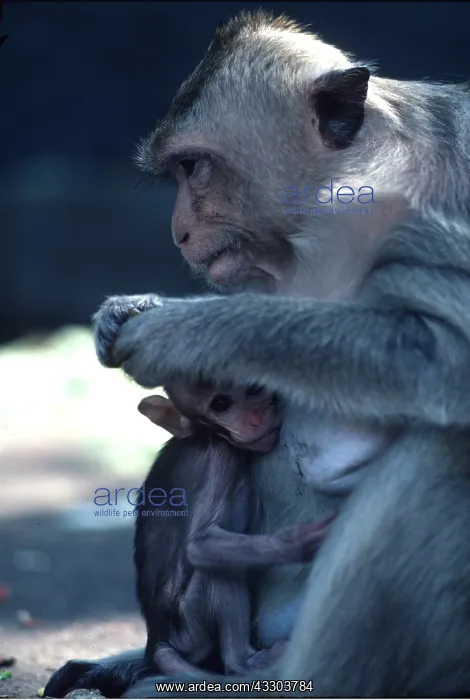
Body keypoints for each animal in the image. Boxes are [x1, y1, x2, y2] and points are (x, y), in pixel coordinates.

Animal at [45, 9, 470, 697]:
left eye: (194, 167)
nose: (178, 231)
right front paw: (126, 310)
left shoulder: (441, 205)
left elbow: (443, 354)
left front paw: (181, 330)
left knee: (445, 445)